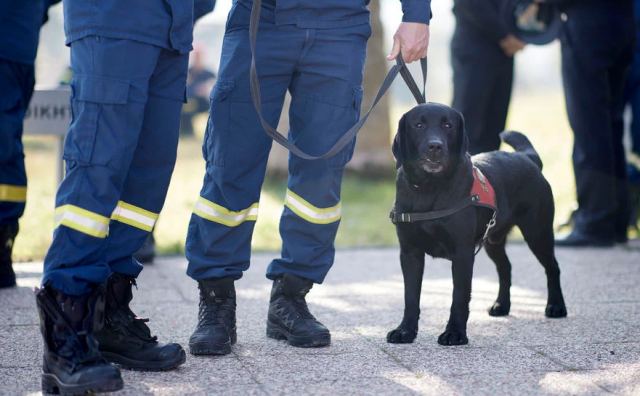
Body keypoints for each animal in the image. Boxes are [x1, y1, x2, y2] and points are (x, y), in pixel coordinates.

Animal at [388, 103, 568, 346]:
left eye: (448, 125)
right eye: (418, 125)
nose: (435, 146)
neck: (429, 189)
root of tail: (527, 158)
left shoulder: (462, 253)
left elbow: (459, 296)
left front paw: (454, 333)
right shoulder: (410, 253)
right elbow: (410, 296)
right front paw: (405, 331)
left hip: (537, 233)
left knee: (552, 268)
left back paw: (556, 306)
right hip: (493, 240)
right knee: (505, 267)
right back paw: (502, 305)